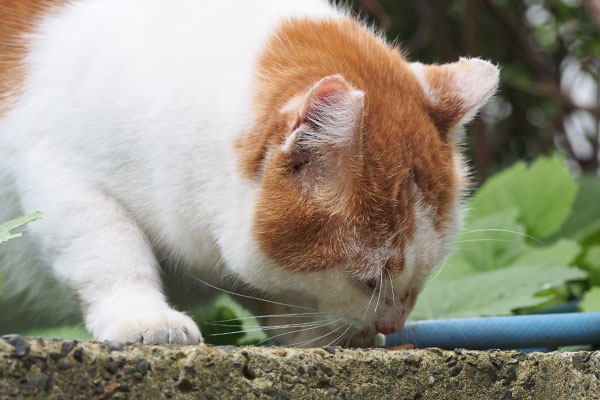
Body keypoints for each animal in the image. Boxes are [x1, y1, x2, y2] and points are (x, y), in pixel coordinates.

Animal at [0, 0, 496, 346]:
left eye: (424, 275)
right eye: (367, 280)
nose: (392, 323)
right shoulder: (60, 174)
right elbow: (109, 249)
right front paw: (145, 318)